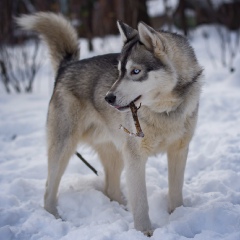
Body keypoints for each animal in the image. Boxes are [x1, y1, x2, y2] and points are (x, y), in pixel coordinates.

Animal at [16, 12, 202, 234]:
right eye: (119, 71)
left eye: (135, 71)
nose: (107, 98)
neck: (164, 111)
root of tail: (66, 67)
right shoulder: (135, 157)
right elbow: (141, 201)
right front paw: (144, 232)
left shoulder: (179, 151)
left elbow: (175, 192)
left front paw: (179, 215)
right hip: (63, 149)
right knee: (48, 188)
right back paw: (54, 216)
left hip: (115, 154)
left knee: (110, 189)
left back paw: (120, 209)